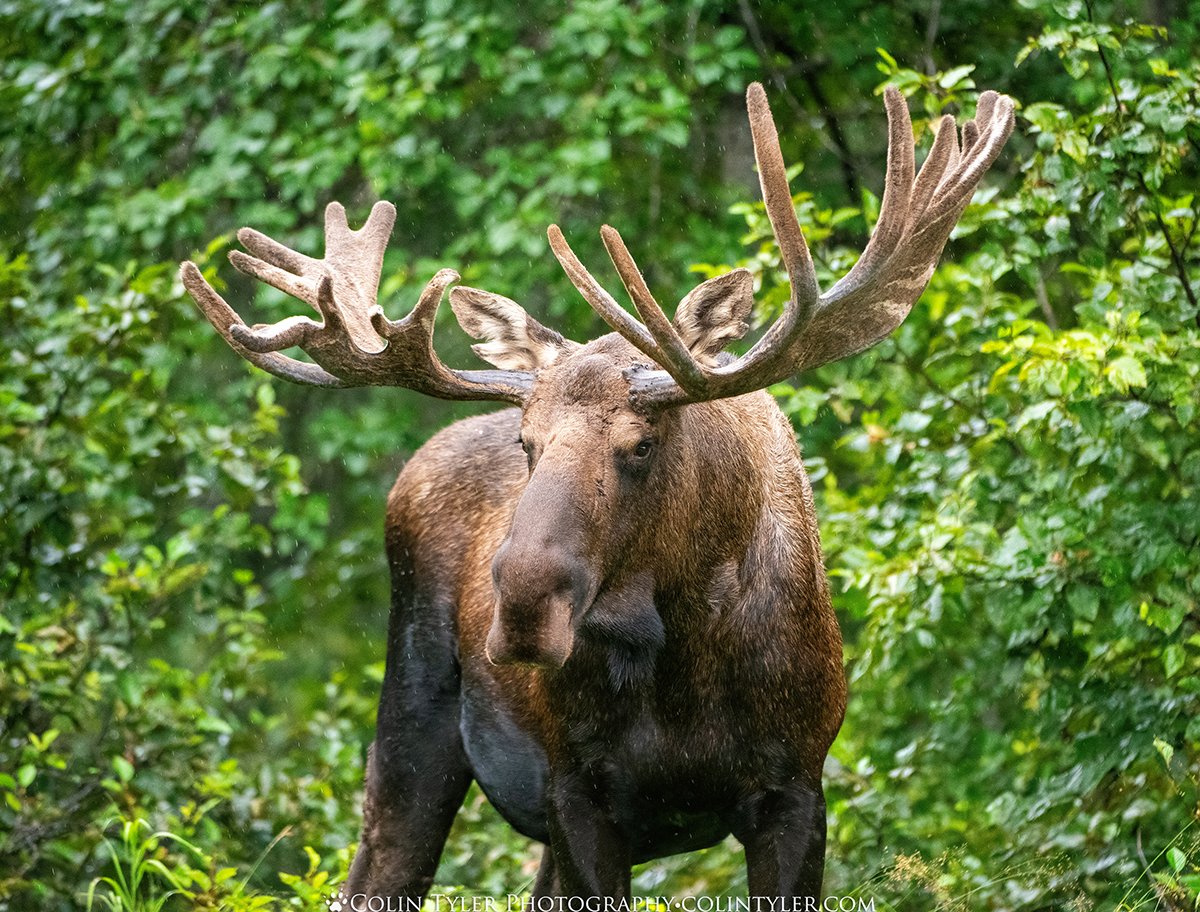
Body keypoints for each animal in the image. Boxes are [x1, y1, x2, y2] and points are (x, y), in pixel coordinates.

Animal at [180, 83, 1013, 901]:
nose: (523, 604)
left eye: (640, 443)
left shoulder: (797, 787)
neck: (682, 660)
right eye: (528, 442)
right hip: (413, 722)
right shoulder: (578, 791)